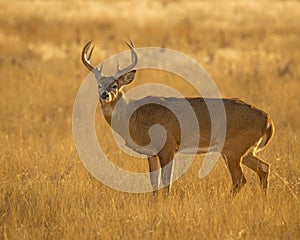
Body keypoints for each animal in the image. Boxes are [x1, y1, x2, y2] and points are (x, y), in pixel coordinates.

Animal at [80, 39, 274, 197]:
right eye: (99, 85)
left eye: (115, 85)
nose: (104, 94)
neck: (134, 116)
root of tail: (267, 118)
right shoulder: (151, 152)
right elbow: (154, 182)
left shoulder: (168, 146)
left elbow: (167, 182)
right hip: (244, 149)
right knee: (264, 168)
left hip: (233, 148)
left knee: (240, 179)